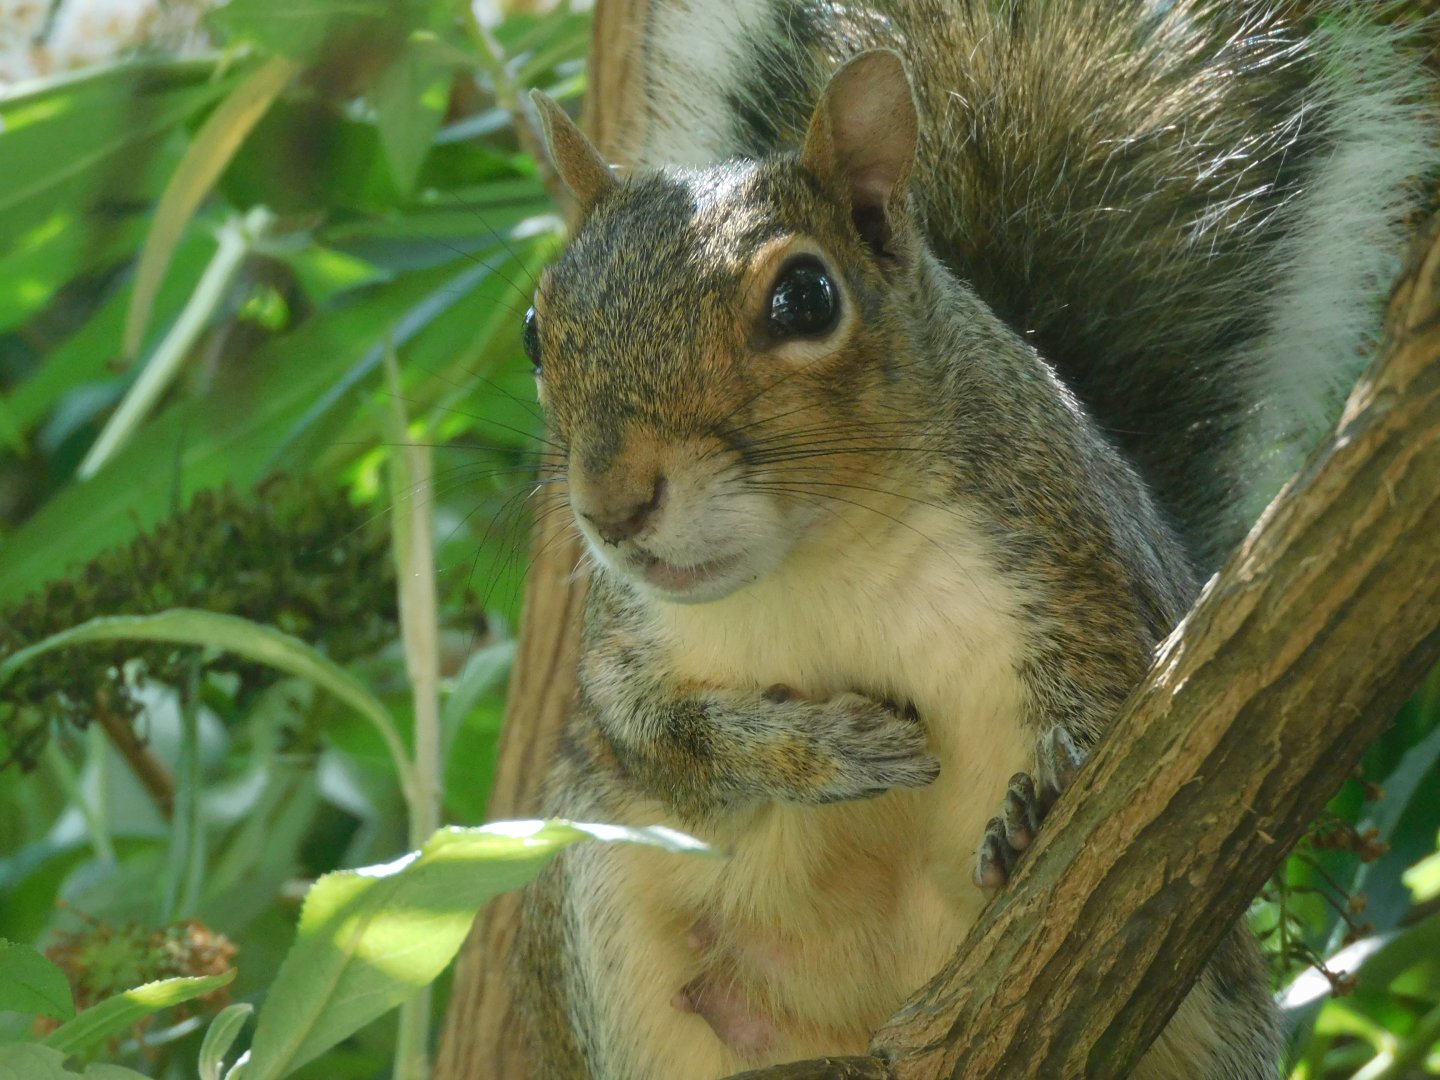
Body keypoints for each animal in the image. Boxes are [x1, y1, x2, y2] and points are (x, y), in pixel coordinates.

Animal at [511, 2, 1434, 1077]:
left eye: (805, 298)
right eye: (536, 329)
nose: (612, 506)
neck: (818, 558)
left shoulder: (1085, 562)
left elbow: (1141, 726)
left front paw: (1041, 802)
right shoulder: (624, 653)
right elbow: (663, 744)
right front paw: (829, 749)